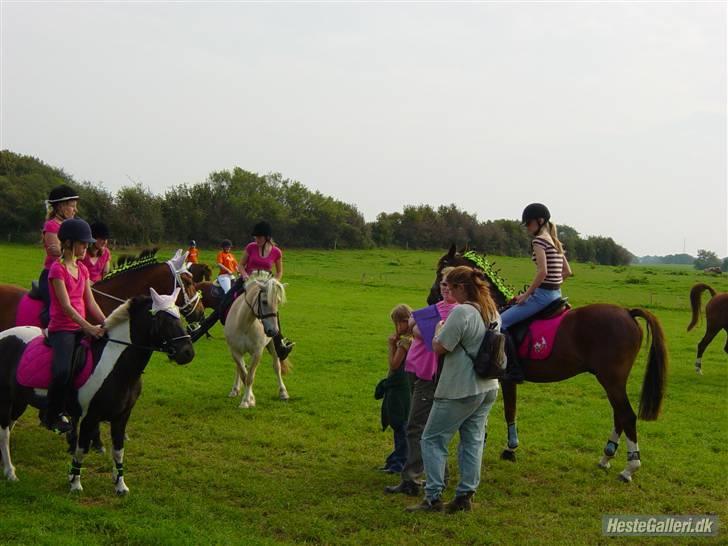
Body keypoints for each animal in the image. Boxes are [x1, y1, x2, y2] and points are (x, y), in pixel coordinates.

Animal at [0, 288, 193, 492]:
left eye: (178, 315)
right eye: (163, 319)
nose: (188, 352)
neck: (116, 364)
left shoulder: (122, 417)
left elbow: (118, 450)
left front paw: (120, 486)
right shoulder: (89, 416)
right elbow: (81, 449)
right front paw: (75, 483)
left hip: (19, 401)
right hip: (5, 400)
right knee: (4, 434)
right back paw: (11, 473)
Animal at [225, 270, 290, 406]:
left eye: (278, 302)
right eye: (264, 302)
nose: (274, 331)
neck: (244, 324)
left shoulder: (257, 352)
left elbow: (250, 377)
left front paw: (247, 400)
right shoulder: (235, 351)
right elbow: (244, 375)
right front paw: (249, 398)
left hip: (272, 345)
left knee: (277, 366)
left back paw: (283, 392)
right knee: (239, 369)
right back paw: (234, 390)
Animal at [430, 246, 668, 480]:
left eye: (442, 273)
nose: (431, 298)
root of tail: (628, 312)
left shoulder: (505, 378)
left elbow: (509, 410)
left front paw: (510, 449)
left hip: (611, 379)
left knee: (627, 415)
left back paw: (630, 467)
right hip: (612, 381)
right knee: (619, 414)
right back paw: (606, 457)